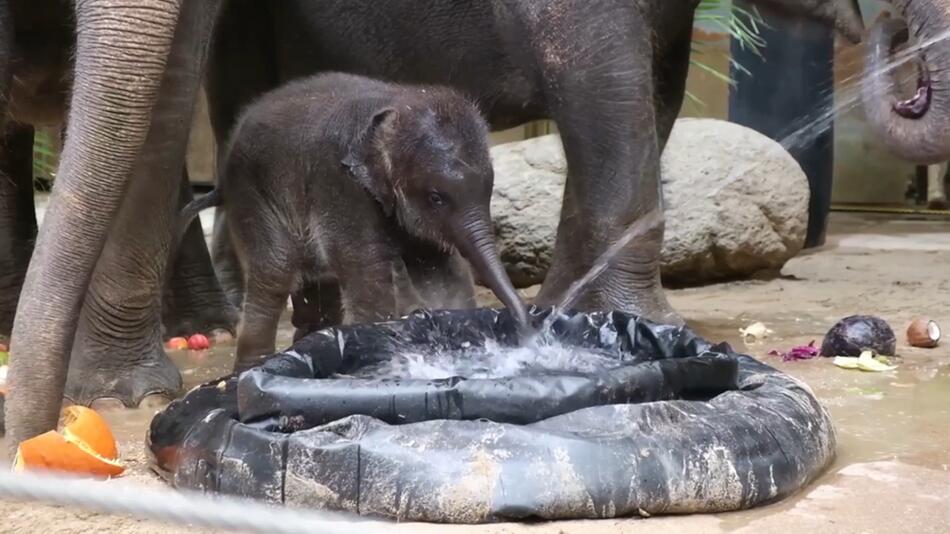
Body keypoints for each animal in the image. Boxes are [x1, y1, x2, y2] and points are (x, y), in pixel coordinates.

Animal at [182, 72, 532, 372]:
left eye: (489, 189)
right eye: (436, 197)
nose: (526, 332)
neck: (398, 102)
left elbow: (442, 273)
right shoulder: (340, 185)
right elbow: (368, 271)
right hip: (253, 195)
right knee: (275, 272)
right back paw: (248, 372)